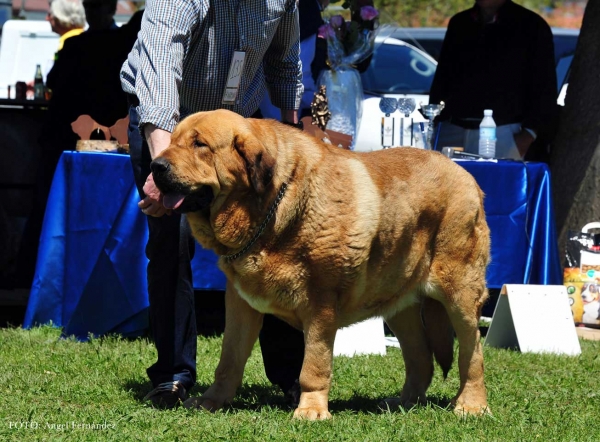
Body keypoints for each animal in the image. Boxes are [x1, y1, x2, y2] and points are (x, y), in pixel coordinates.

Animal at [150, 109, 492, 420]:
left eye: (200, 144)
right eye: (173, 141)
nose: (155, 165)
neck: (271, 208)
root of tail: (466, 176)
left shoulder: (321, 305)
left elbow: (313, 365)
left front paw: (311, 410)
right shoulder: (240, 304)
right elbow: (229, 360)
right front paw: (212, 402)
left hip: (459, 294)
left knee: (472, 351)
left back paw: (470, 405)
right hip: (399, 304)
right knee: (420, 356)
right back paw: (403, 403)